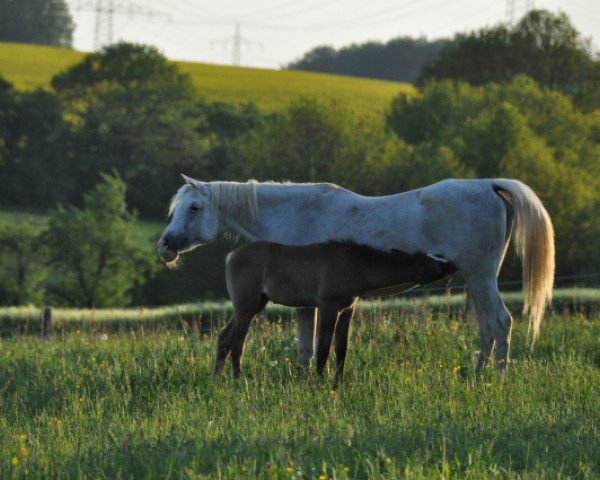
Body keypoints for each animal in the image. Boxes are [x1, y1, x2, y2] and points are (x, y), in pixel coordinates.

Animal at [156, 176, 552, 372]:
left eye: (194, 207)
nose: (165, 246)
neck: (296, 212)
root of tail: (489, 185)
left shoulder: (313, 303)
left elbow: (312, 348)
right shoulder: (312, 303)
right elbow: (307, 350)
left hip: (482, 279)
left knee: (501, 324)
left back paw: (496, 380)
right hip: (476, 282)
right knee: (486, 330)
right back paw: (477, 378)